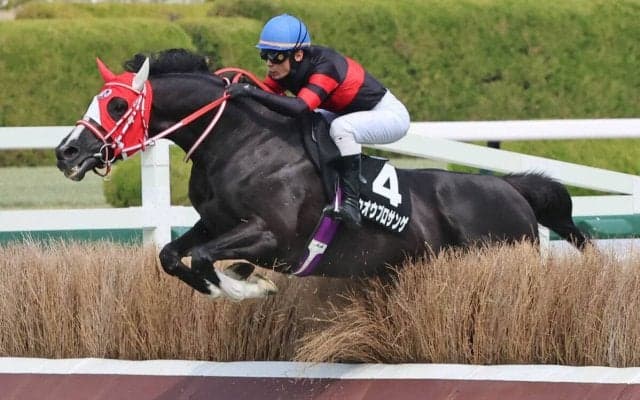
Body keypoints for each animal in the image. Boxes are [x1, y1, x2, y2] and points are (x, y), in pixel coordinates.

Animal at [55, 49, 588, 301]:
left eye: (117, 105)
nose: (67, 152)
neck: (241, 143)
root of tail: (510, 187)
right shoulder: (216, 222)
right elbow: (171, 255)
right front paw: (235, 281)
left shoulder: (274, 237)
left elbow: (206, 258)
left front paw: (250, 286)